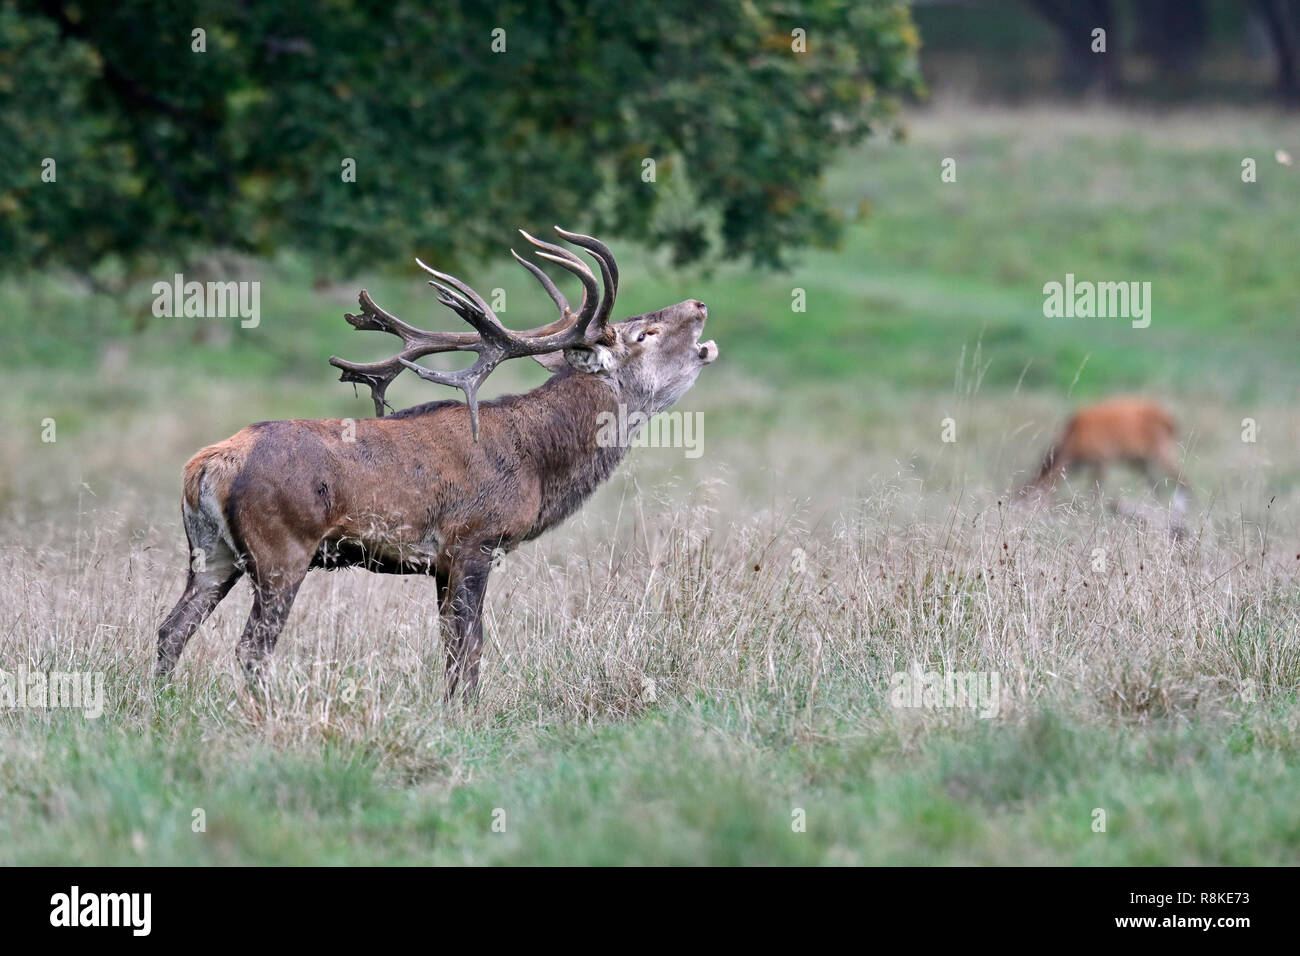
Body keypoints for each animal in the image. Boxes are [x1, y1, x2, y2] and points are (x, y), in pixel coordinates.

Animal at [158, 227, 722, 697]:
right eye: (642, 334)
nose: (699, 303)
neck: (539, 463)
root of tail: (206, 467)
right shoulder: (475, 540)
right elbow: (469, 650)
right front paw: (466, 717)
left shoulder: (442, 563)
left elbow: (451, 649)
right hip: (282, 548)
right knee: (251, 648)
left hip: (212, 553)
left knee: (170, 630)